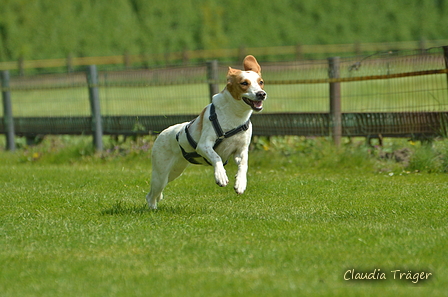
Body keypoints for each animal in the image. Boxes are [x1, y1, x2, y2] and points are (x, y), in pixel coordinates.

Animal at [146, 55, 266, 208]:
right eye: (244, 83)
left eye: (261, 82)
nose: (261, 94)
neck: (235, 116)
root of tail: (162, 133)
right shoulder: (203, 145)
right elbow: (216, 157)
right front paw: (221, 175)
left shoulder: (241, 150)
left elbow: (243, 165)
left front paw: (240, 183)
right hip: (160, 174)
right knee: (151, 195)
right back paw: (152, 208)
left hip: (175, 170)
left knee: (157, 193)